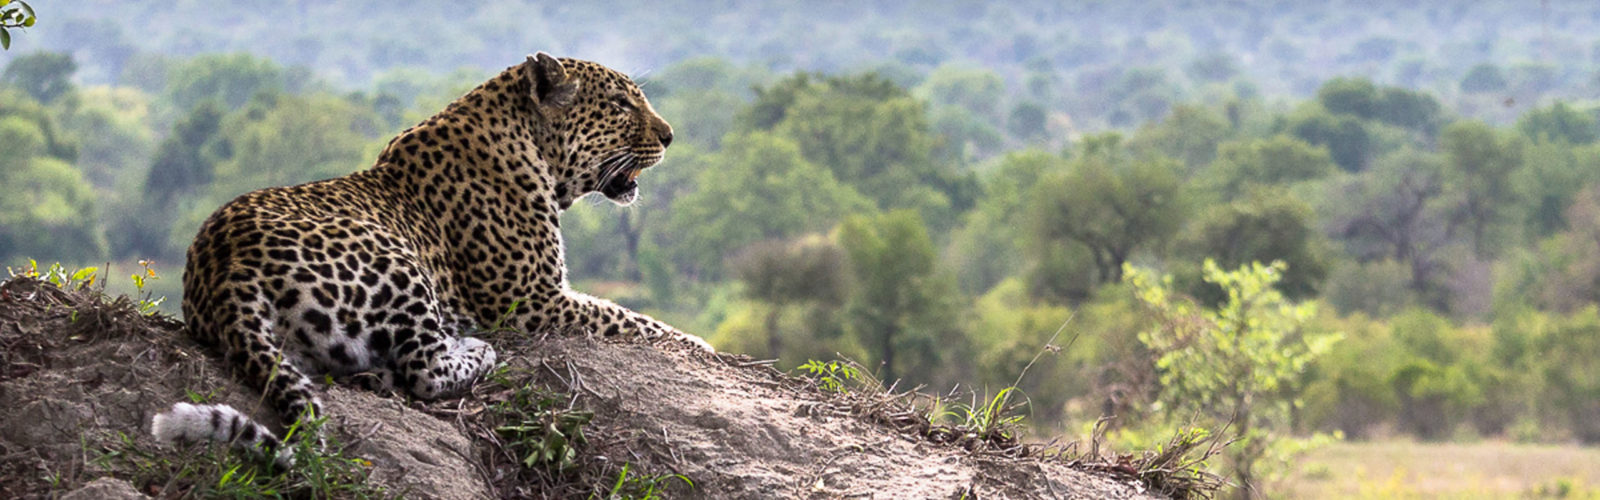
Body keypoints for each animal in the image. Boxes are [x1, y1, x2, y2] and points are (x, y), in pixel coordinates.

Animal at [151, 52, 713, 461]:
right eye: (619, 104)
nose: (670, 136)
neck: (530, 145)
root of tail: (221, 265)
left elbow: (633, 319)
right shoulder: (532, 301)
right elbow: (638, 322)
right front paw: (706, 348)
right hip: (395, 258)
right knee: (424, 367)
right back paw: (475, 348)